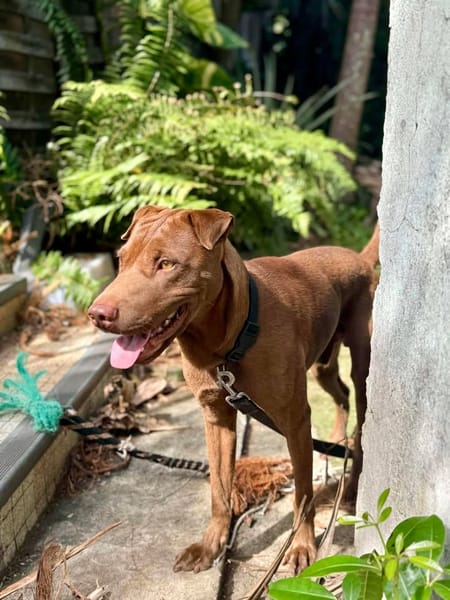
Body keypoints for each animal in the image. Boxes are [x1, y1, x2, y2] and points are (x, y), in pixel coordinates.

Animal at [88, 206, 380, 572]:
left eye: (166, 264)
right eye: (121, 260)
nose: (97, 314)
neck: (228, 342)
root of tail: (357, 257)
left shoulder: (296, 421)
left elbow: (302, 495)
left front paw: (301, 546)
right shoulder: (217, 419)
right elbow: (219, 490)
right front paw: (211, 545)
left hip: (363, 365)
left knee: (361, 423)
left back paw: (352, 488)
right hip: (322, 366)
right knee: (341, 395)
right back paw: (336, 441)